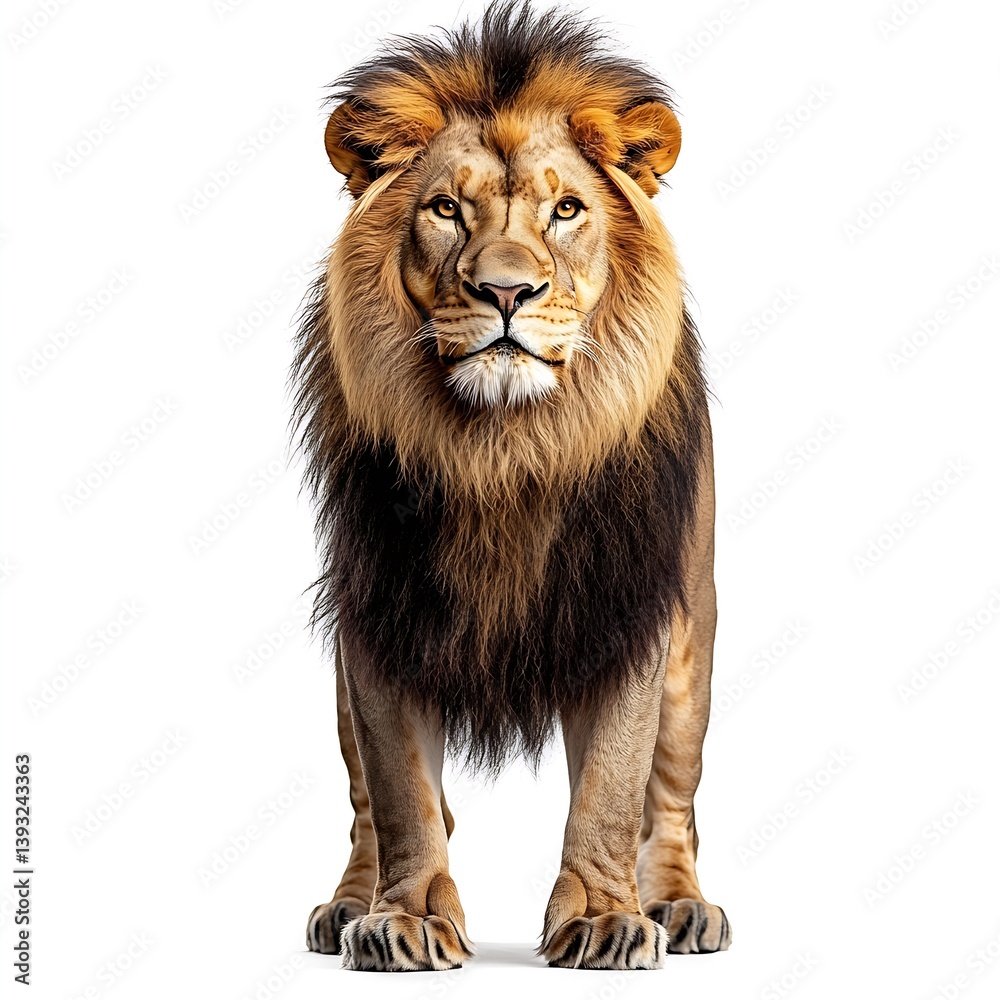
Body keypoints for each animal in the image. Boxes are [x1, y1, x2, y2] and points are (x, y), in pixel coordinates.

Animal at [295, 1, 731, 971]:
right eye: (445, 210)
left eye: (565, 209)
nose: (506, 291)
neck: (505, 449)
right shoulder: (379, 609)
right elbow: (402, 793)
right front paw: (407, 915)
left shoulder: (629, 607)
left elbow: (612, 787)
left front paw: (604, 917)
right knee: (363, 806)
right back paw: (348, 904)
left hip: (692, 649)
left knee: (670, 800)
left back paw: (679, 906)